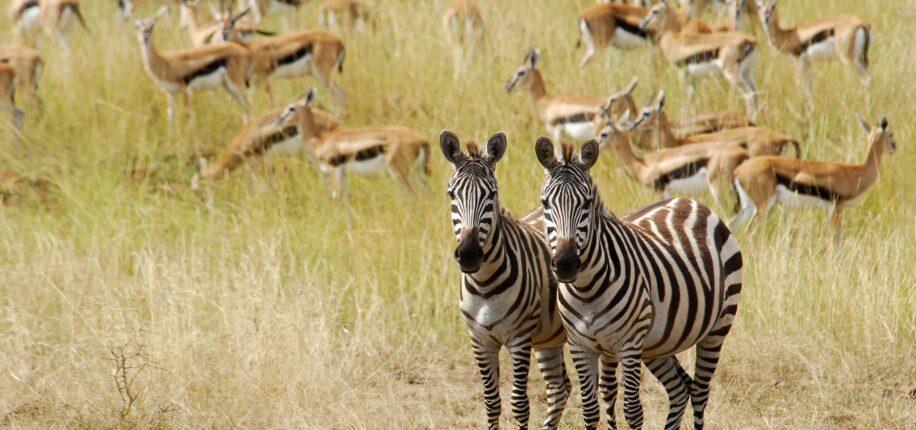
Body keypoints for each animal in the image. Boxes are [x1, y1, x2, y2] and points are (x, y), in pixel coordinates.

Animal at [440, 131, 568, 430]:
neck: (485, 284)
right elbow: (491, 402)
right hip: (549, 337)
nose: (469, 255)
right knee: (560, 387)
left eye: (492, 194)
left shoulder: (518, 339)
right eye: (452, 194)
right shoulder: (480, 341)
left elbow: (519, 404)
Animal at [532, 138, 740, 430]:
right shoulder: (579, 345)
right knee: (679, 389)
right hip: (658, 342)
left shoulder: (629, 345)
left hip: (718, 326)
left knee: (699, 391)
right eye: (545, 203)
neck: (586, 290)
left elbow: (632, 411)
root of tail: (691, 203)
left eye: (586, 203)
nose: (565, 264)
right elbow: (589, 411)